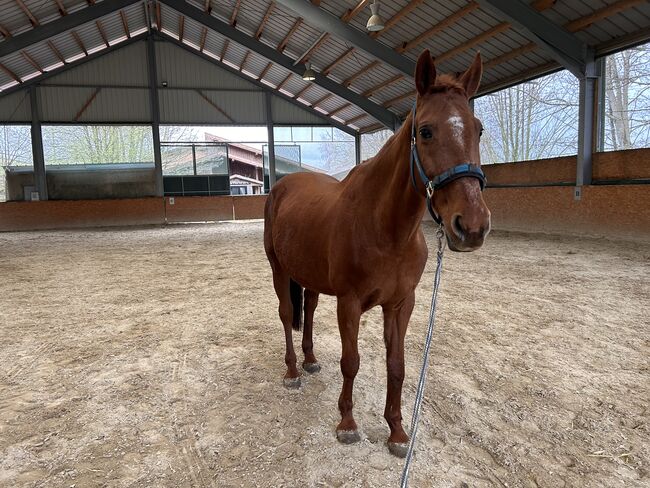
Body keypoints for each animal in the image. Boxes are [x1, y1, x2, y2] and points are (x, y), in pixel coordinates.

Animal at [260, 50, 488, 458]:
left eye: (478, 130)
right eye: (426, 131)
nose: (472, 226)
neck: (387, 230)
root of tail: (284, 185)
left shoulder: (401, 303)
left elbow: (396, 365)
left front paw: (396, 431)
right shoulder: (349, 302)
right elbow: (351, 361)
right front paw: (348, 424)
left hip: (310, 276)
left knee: (309, 311)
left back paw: (311, 360)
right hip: (279, 269)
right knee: (287, 315)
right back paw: (292, 371)